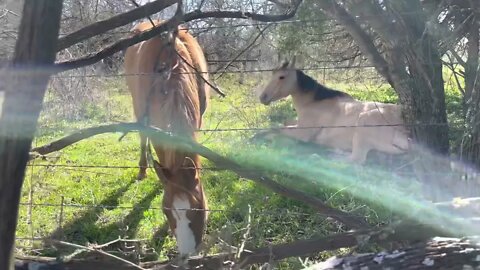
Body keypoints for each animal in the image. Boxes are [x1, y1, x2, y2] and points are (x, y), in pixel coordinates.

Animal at [256, 59, 410, 163]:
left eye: (281, 76)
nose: (263, 97)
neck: (313, 102)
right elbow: (282, 123)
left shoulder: (302, 132)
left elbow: (276, 129)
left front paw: (258, 137)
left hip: (363, 124)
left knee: (355, 159)